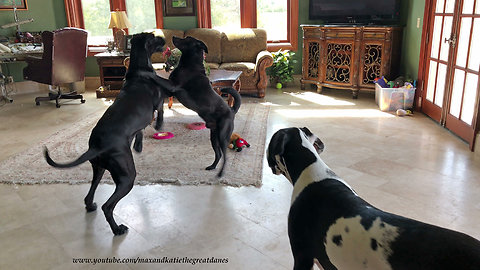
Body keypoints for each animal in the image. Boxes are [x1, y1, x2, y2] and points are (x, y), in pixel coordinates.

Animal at [44, 33, 176, 236]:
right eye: (154, 38)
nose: (162, 38)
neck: (138, 69)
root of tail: (96, 146)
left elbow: (140, 130)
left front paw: (138, 145)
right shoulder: (158, 100)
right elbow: (160, 111)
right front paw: (159, 124)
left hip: (99, 169)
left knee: (89, 195)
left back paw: (91, 206)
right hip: (126, 176)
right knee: (108, 206)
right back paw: (117, 229)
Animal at [171, 35, 242, 177]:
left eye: (187, 38)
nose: (174, 36)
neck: (190, 64)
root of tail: (232, 110)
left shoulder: (173, 86)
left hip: (222, 136)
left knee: (225, 156)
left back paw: (220, 173)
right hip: (214, 137)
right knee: (218, 154)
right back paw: (212, 167)